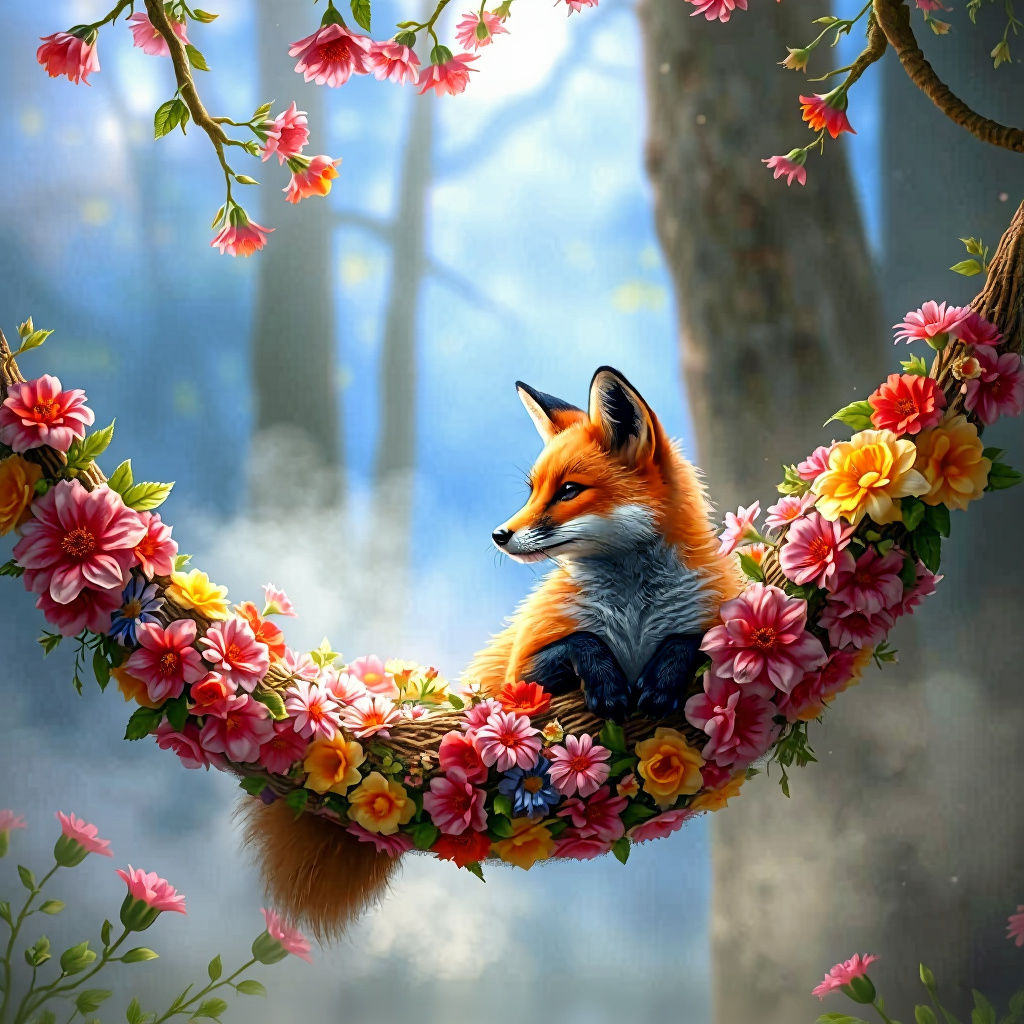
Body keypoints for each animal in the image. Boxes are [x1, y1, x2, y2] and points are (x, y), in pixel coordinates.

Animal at [243, 366, 741, 938]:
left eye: (569, 490)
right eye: (533, 489)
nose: (500, 534)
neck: (635, 613)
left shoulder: (716, 614)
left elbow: (690, 639)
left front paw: (661, 678)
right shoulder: (523, 678)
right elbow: (583, 641)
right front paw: (608, 681)